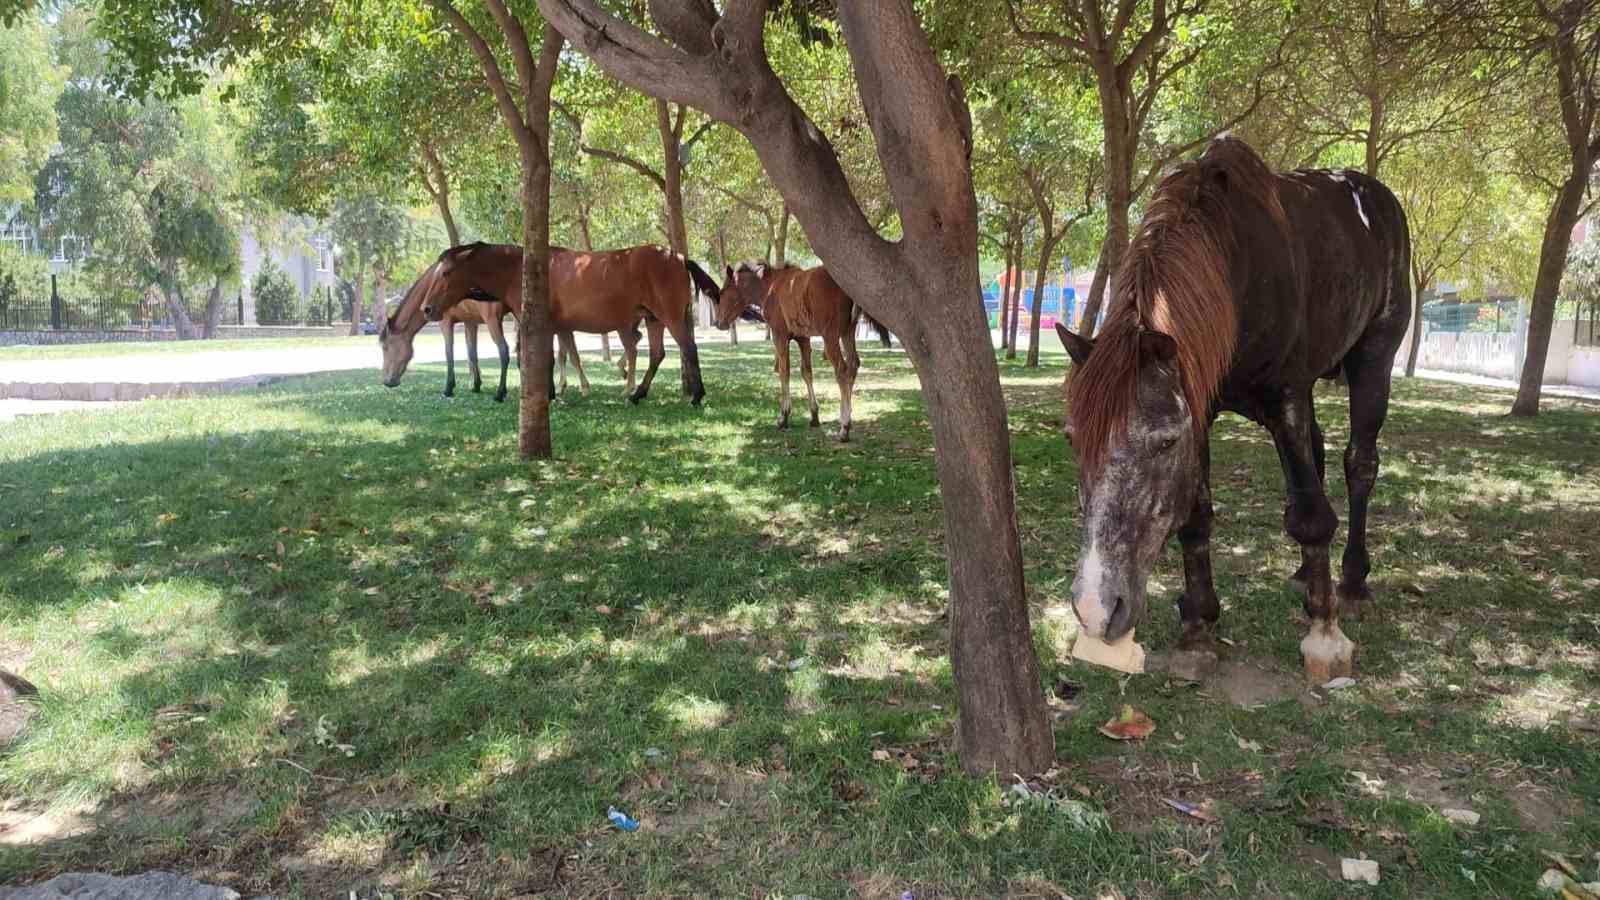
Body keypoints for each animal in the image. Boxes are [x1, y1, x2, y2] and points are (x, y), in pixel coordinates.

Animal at [409, 241, 716, 403]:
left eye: (446, 272)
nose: (426, 308)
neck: (523, 270)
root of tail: (677, 257)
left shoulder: (544, 326)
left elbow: (547, 359)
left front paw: (548, 393)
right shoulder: (554, 328)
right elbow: (553, 358)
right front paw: (553, 391)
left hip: (670, 316)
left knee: (688, 348)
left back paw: (696, 395)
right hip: (653, 319)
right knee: (656, 354)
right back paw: (637, 393)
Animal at [720, 261, 896, 438]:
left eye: (722, 292)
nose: (719, 323)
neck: (770, 287)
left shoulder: (779, 335)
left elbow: (784, 372)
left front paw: (783, 416)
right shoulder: (803, 338)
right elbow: (807, 372)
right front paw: (814, 415)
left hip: (830, 335)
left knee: (841, 369)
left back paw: (844, 427)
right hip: (848, 332)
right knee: (853, 364)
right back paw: (846, 415)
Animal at [1056, 134, 1408, 679]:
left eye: (1165, 442)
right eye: (1073, 439)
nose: (1096, 610)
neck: (1236, 270)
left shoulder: (1285, 399)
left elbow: (1311, 514)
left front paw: (1325, 636)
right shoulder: (1200, 406)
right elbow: (1196, 516)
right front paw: (1198, 626)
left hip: (1375, 357)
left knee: (1359, 465)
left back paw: (1350, 583)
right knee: (1320, 458)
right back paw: (1306, 573)